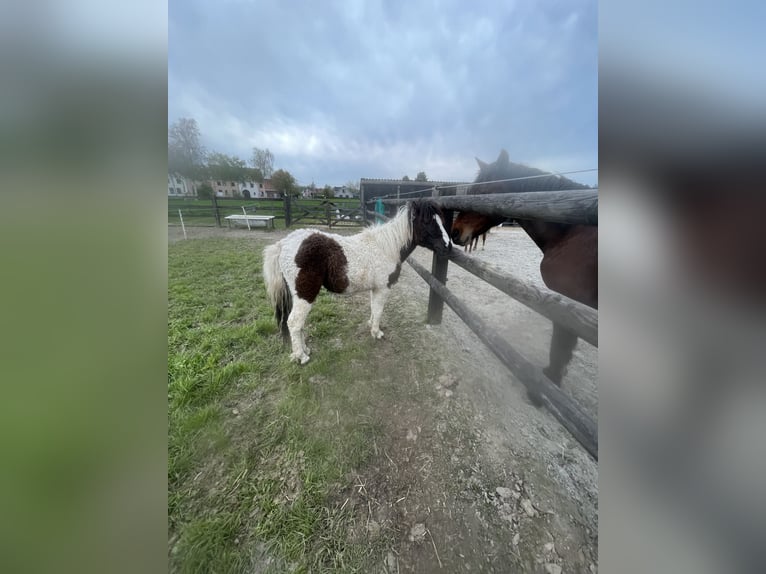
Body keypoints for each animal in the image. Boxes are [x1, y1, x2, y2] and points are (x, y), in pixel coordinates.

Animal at [268, 200, 452, 364]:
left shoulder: (375, 288)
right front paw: (376, 333)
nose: (448, 247)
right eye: (427, 221)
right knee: (294, 322)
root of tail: (284, 244)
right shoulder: (383, 288)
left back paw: (305, 350)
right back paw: (302, 357)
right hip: (306, 294)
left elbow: (373, 308)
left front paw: (371, 325)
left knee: (297, 324)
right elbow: (378, 310)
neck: (386, 248)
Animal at [450, 151, 600, 398]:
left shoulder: (569, 308)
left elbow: (560, 349)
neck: (568, 232)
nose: (454, 232)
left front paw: (546, 387)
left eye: (484, 192)